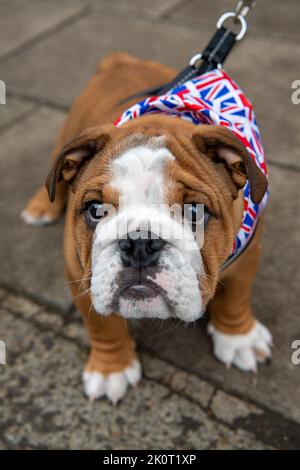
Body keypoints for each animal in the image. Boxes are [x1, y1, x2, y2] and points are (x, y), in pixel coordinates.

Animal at [22, 52, 272, 404]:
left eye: (195, 211)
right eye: (95, 210)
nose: (140, 243)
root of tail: (122, 61)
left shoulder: (247, 254)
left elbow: (236, 295)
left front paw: (239, 338)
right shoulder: (80, 270)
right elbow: (102, 325)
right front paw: (111, 369)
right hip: (70, 132)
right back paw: (40, 207)